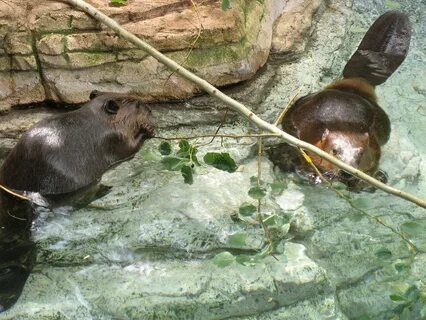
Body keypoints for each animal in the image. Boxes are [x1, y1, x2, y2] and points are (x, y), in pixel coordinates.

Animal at [0, 90, 155, 312]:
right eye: (137, 104)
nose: (150, 109)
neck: (97, 120)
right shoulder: (115, 139)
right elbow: (130, 148)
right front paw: (149, 130)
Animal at [272, 11, 412, 188]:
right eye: (334, 151)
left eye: (360, 154)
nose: (347, 172)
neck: (344, 126)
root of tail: (360, 80)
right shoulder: (307, 138)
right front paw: (314, 175)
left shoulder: (374, 150)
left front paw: (374, 179)